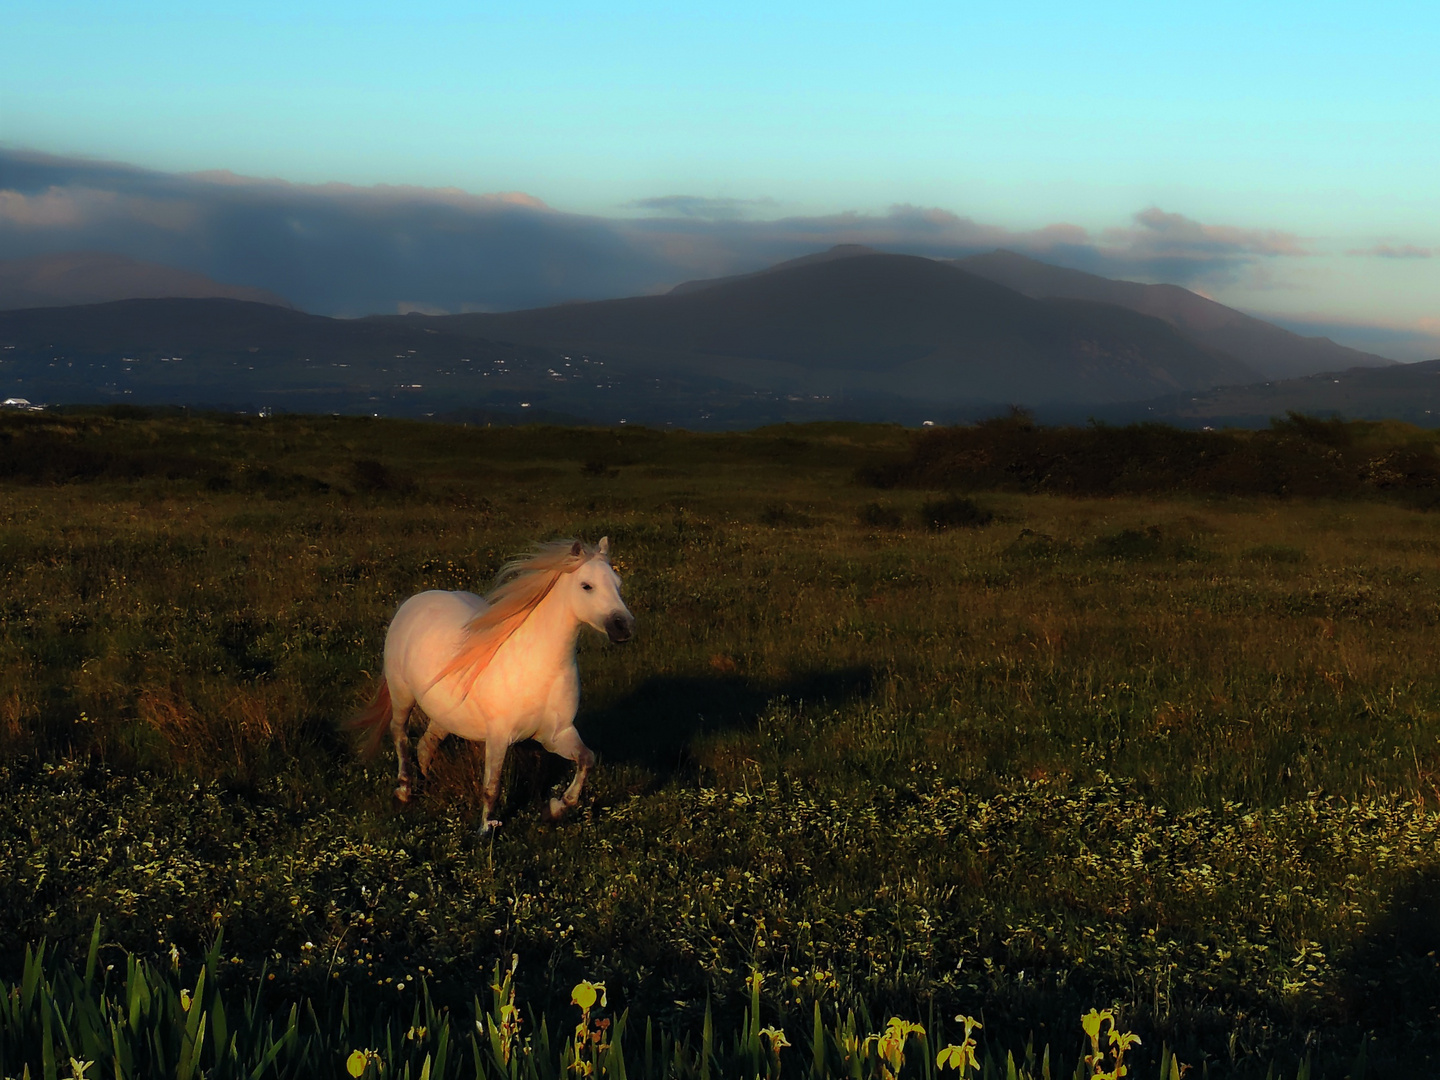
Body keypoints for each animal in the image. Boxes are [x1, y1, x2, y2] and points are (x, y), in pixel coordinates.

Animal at [351, 538, 633, 829]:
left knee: (425, 745)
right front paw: (486, 829)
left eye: (618, 583)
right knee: (401, 735)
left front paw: (555, 808)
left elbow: (587, 760)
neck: (537, 666)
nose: (623, 627)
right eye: (586, 586)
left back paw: (428, 782)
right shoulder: (499, 736)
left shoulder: (556, 734)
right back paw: (405, 790)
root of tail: (413, 602)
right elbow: (492, 787)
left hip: (445, 714)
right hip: (402, 695)